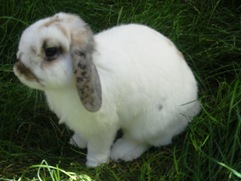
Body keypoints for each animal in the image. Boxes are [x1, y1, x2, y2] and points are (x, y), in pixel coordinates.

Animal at [13, 12, 201, 168]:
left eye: (51, 51)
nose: (19, 67)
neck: (67, 87)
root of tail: (193, 106)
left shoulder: (103, 127)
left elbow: (99, 146)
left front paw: (95, 164)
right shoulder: (81, 122)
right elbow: (81, 134)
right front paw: (77, 142)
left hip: (150, 125)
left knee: (145, 140)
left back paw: (122, 152)